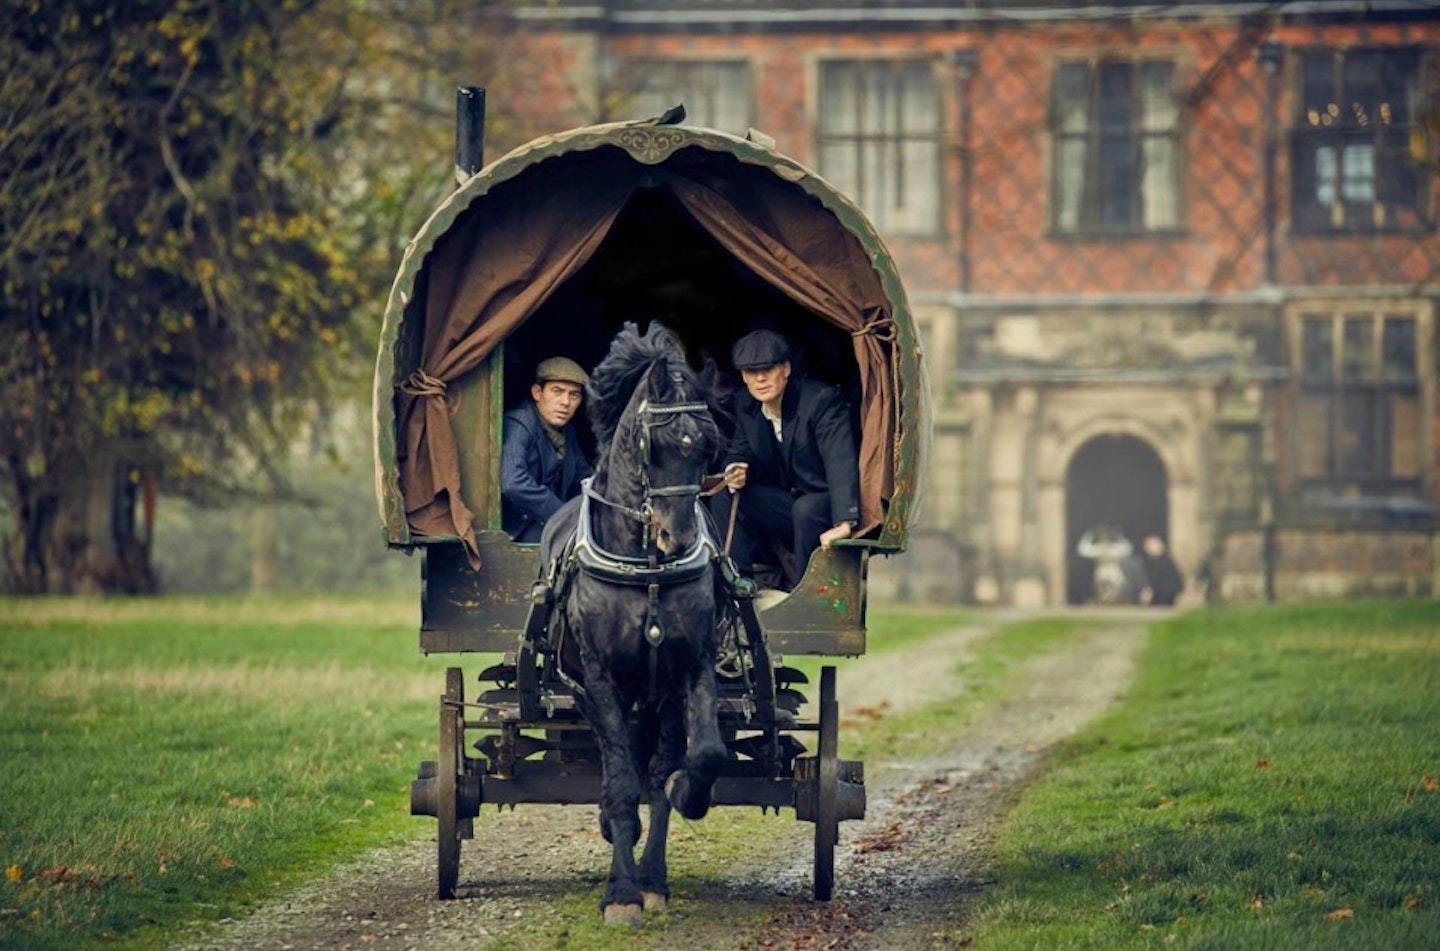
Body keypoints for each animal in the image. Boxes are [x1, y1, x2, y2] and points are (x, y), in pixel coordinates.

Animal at [535, 322, 725, 922]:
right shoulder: (598, 679)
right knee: (615, 762)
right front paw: (620, 893)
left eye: (708, 444)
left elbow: (697, 758)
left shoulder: (691, 666)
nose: (678, 539)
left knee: (654, 764)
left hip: (654, 696)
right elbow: (620, 782)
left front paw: (687, 797)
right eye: (655, 443)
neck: (647, 573)